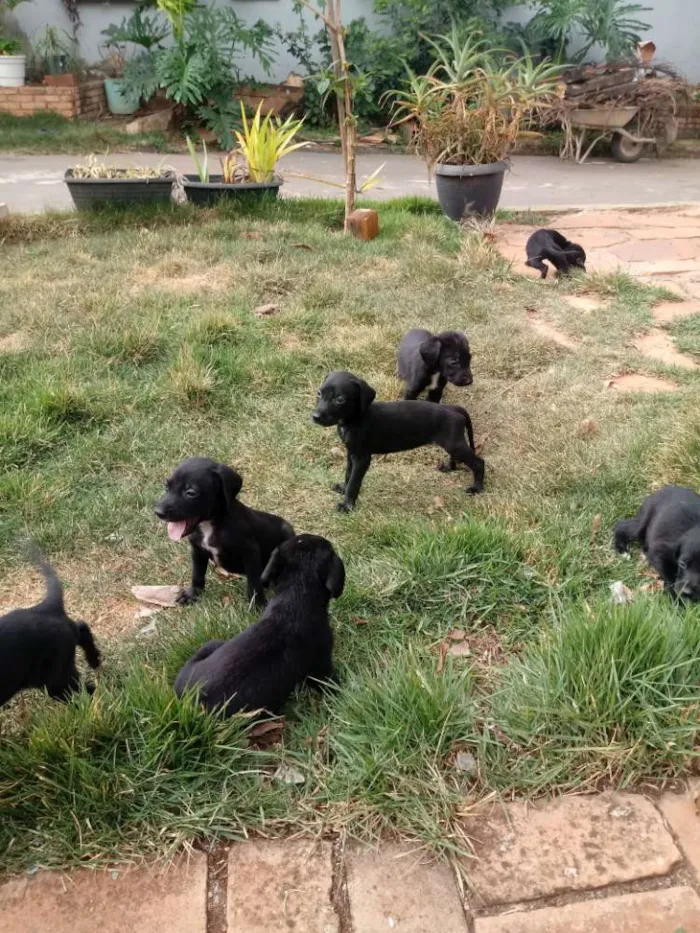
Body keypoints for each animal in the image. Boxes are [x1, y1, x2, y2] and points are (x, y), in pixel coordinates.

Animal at [154, 456, 294, 604]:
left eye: (191, 493)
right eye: (167, 486)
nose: (158, 512)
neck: (210, 525)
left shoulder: (250, 553)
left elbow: (254, 584)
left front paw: (258, 604)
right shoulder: (197, 550)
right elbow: (197, 574)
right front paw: (192, 594)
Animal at [308, 370, 484, 512]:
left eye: (340, 399)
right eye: (319, 393)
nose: (315, 417)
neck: (355, 419)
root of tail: (454, 409)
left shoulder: (362, 458)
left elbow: (354, 482)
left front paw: (347, 506)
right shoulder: (351, 453)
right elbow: (348, 474)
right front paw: (343, 489)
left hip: (454, 444)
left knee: (479, 462)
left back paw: (477, 488)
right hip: (453, 443)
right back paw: (449, 467)